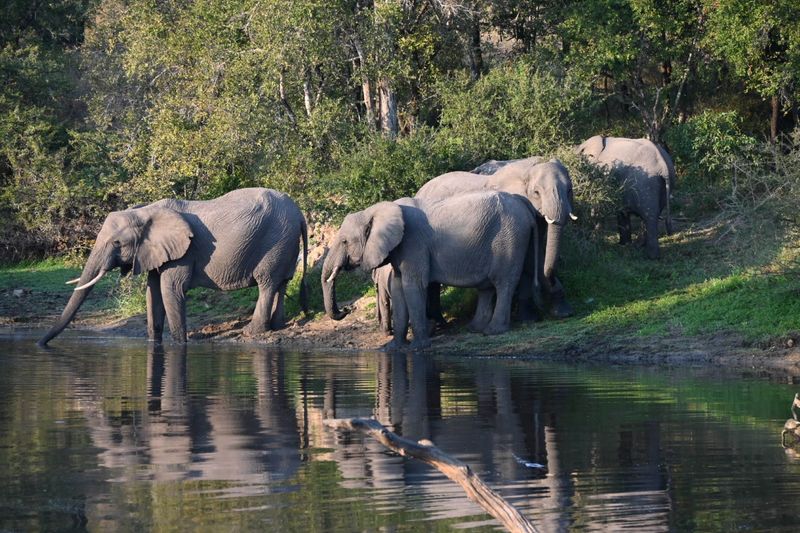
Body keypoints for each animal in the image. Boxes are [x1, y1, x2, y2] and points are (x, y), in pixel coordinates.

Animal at [38, 188, 308, 346]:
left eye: (117, 243)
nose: (40, 344)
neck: (146, 211)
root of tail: (300, 213)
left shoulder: (183, 253)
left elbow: (170, 290)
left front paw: (179, 344)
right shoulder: (154, 251)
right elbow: (152, 292)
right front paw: (154, 343)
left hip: (276, 240)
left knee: (266, 282)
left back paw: (253, 333)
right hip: (286, 243)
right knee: (281, 282)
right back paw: (277, 326)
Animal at [322, 191, 539, 351]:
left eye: (344, 241)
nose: (347, 309)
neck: (375, 210)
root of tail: (524, 203)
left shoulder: (413, 243)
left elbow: (412, 286)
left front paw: (418, 347)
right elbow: (399, 289)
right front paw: (393, 348)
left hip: (510, 238)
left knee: (504, 283)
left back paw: (492, 331)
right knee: (489, 287)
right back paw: (476, 328)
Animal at [415, 157, 576, 321]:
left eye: (570, 190)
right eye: (536, 193)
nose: (542, 304)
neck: (527, 168)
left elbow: (531, 253)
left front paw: (532, 318)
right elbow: (531, 258)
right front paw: (562, 312)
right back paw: (437, 321)